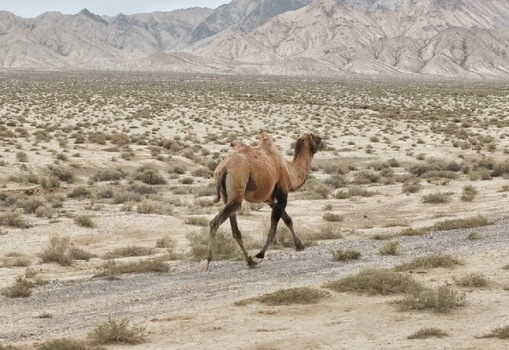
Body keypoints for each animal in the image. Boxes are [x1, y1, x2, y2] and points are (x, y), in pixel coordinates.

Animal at [201, 133, 322, 270]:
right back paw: (207, 260)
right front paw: (260, 253)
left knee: (234, 229)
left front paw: (299, 245)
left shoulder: (270, 200)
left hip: (228, 196)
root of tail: (223, 168)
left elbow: (287, 220)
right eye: (318, 139)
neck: (290, 171)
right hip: (237, 186)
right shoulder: (282, 194)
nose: (324, 143)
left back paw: (250, 261)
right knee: (215, 222)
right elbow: (275, 225)